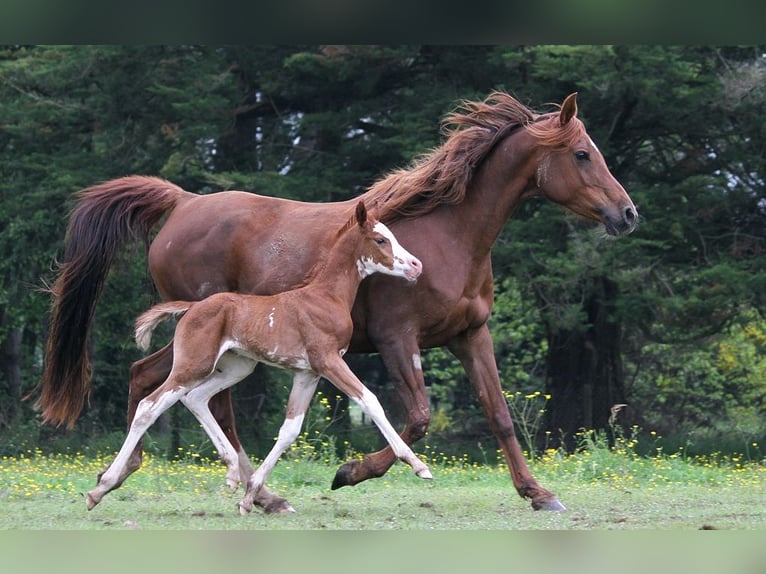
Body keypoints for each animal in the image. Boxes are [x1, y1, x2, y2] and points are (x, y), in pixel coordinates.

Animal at [87, 201, 432, 512]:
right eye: (380, 240)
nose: (416, 265)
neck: (325, 296)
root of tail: (191, 307)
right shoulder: (328, 360)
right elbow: (371, 401)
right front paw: (419, 466)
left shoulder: (307, 373)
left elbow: (290, 429)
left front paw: (250, 495)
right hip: (194, 364)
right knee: (151, 405)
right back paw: (101, 488)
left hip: (236, 366)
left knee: (195, 398)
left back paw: (230, 472)